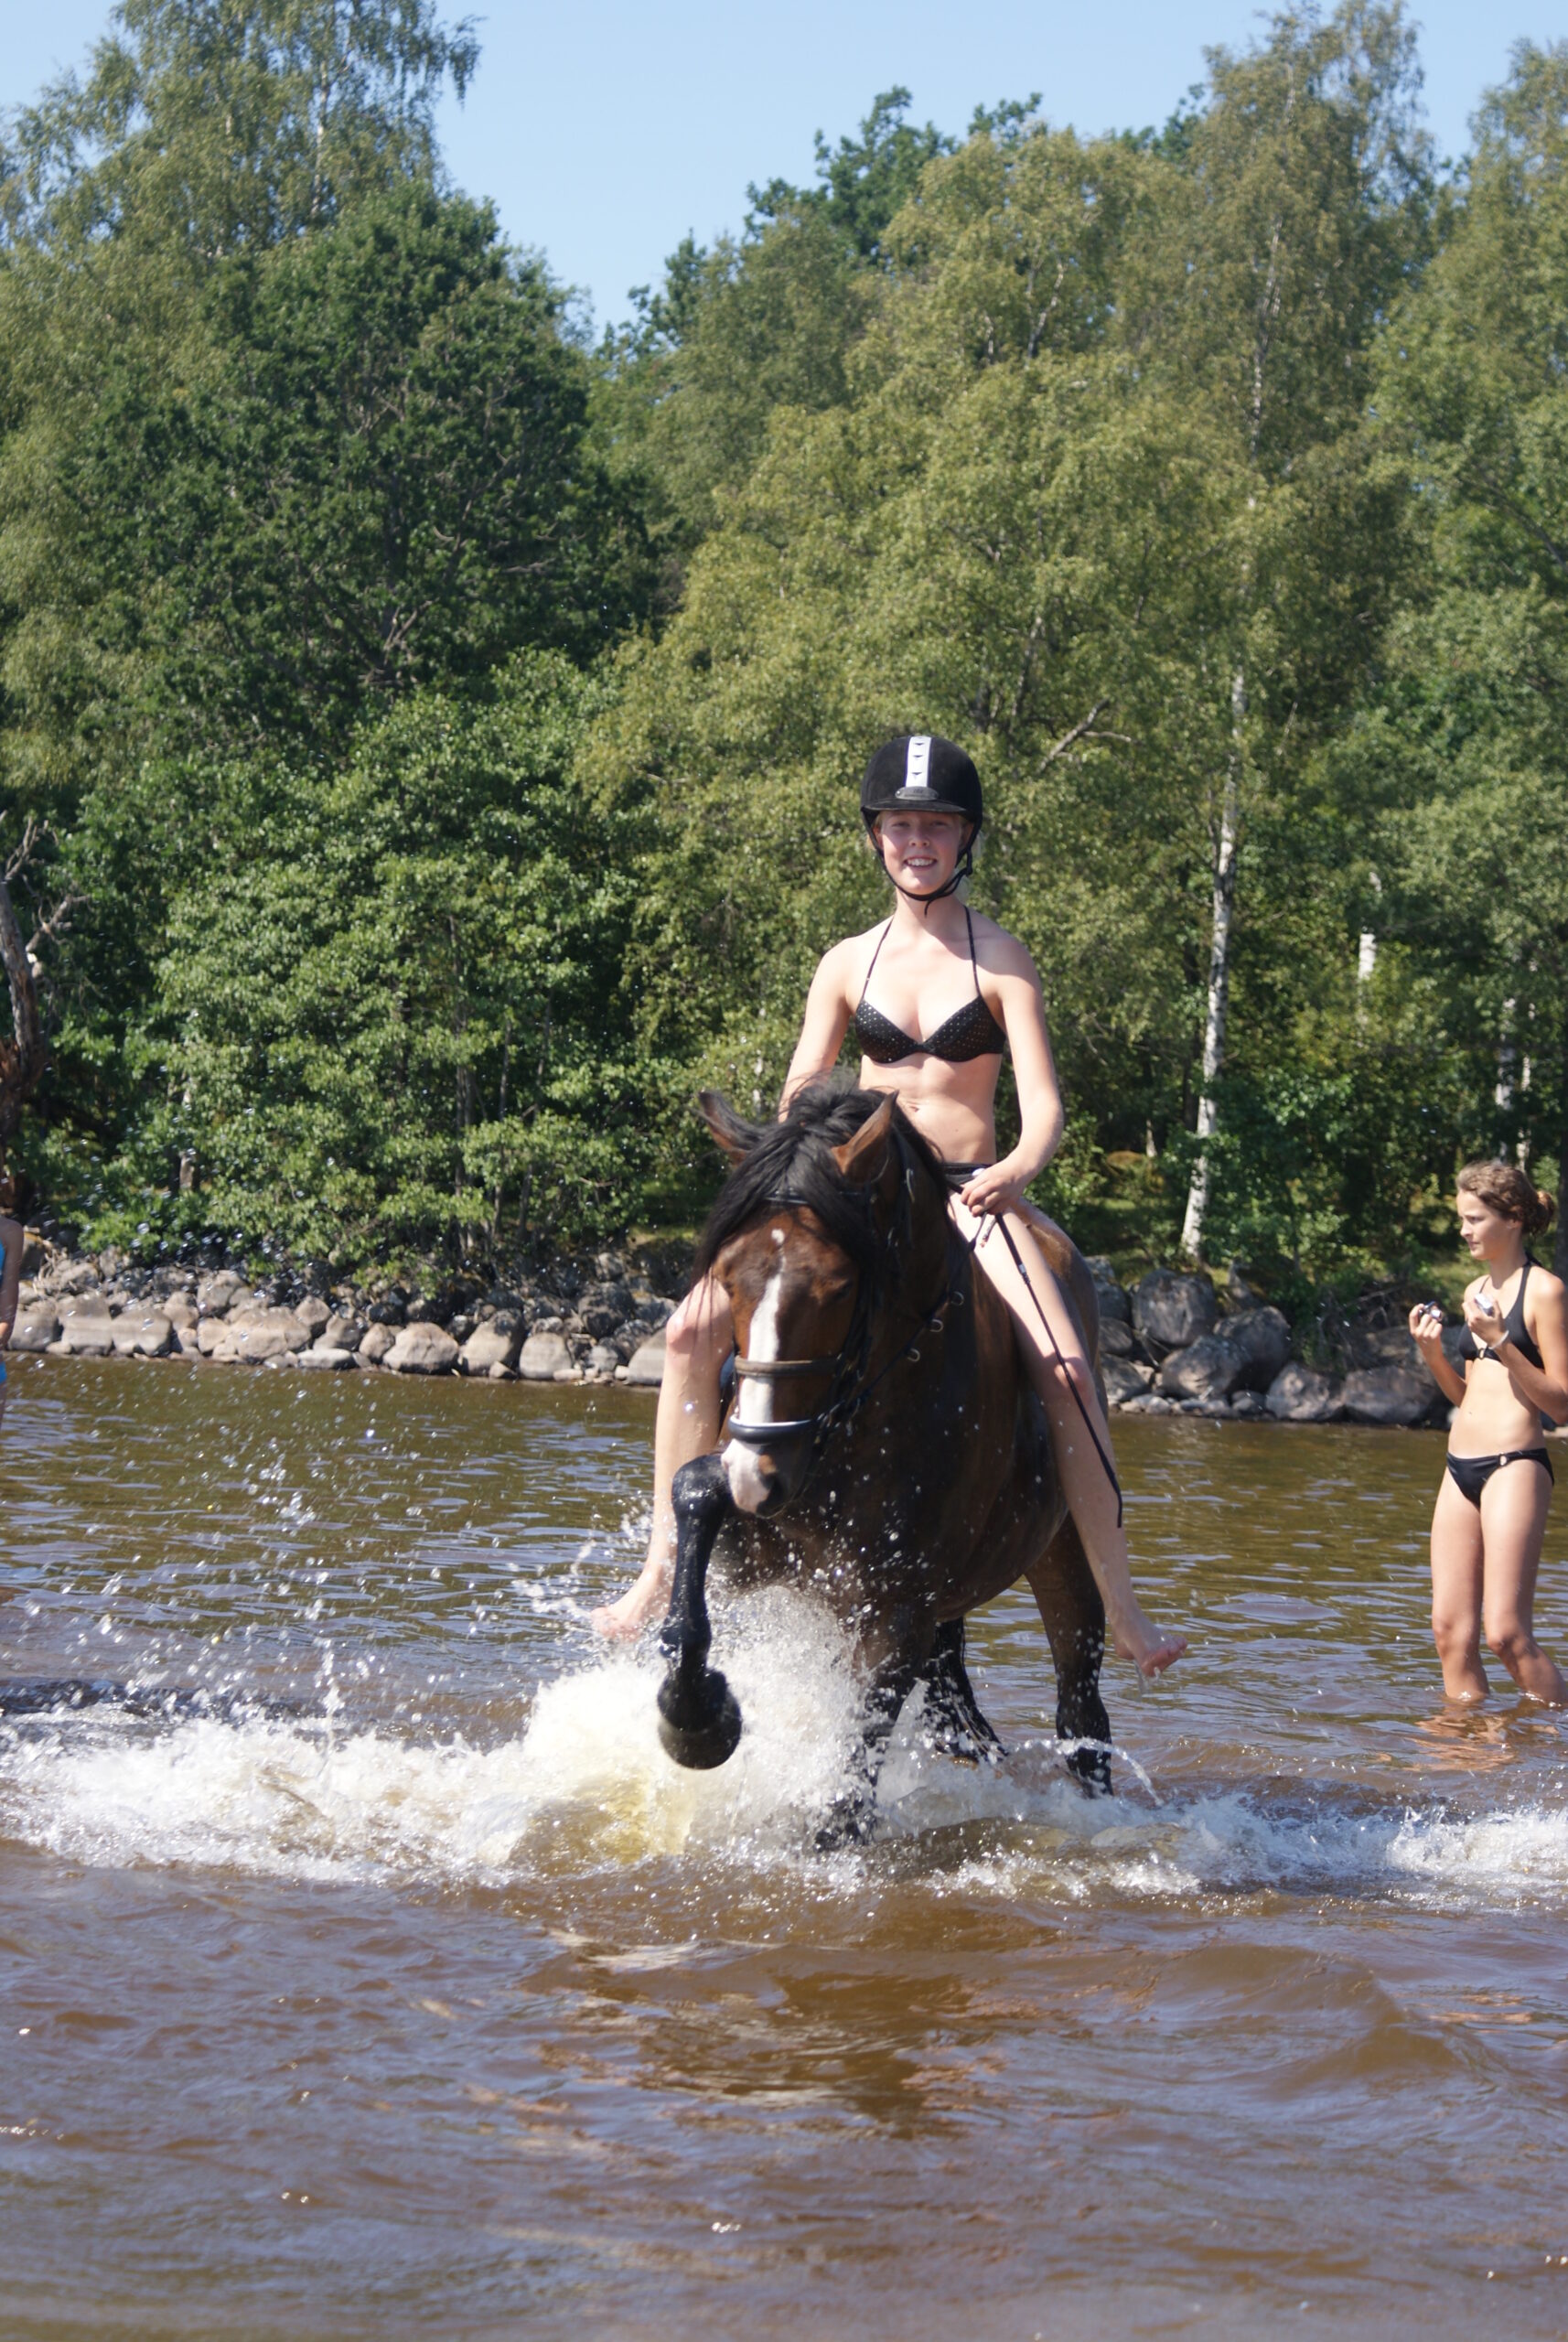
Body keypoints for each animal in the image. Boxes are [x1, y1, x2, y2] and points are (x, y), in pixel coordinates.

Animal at [654, 1083, 1113, 1842]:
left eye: (839, 1286)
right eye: (726, 1277)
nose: (762, 1472)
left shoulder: (899, 1605)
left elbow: (852, 1773)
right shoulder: (761, 1549)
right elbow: (694, 1495)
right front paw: (696, 1719)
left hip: (1064, 1554)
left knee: (1082, 1709)